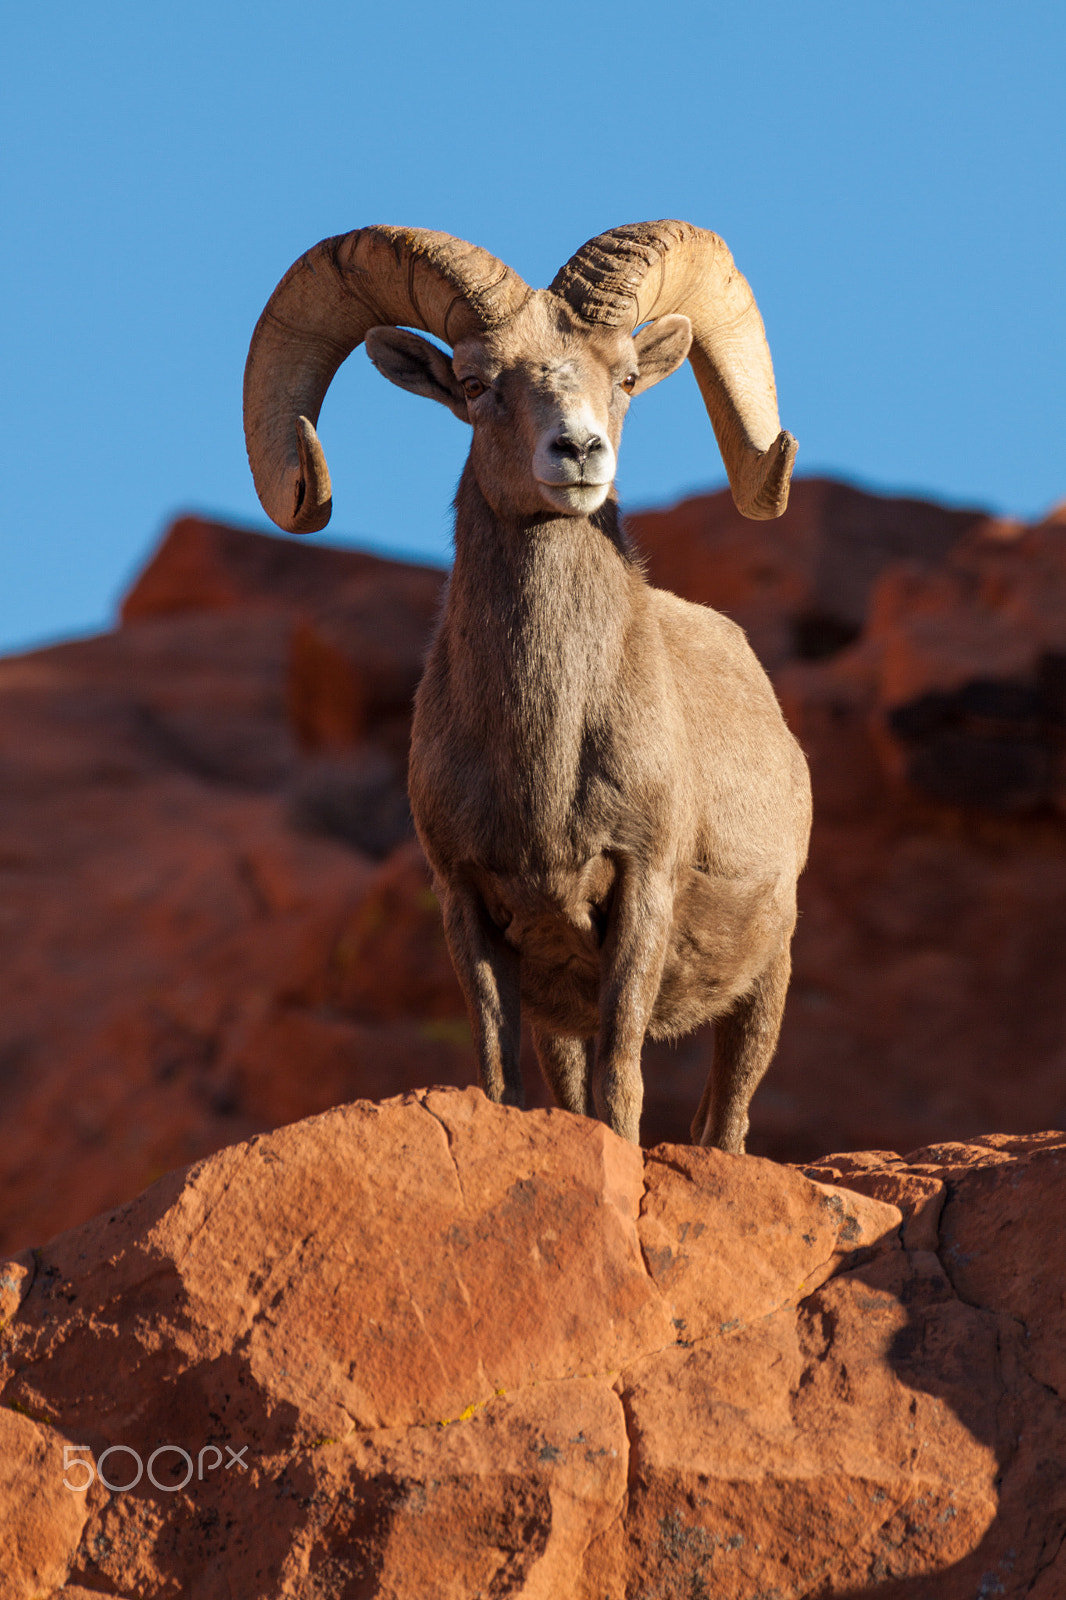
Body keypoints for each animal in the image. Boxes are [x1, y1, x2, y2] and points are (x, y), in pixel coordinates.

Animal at [244, 221, 811, 1150]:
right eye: (476, 385)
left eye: (625, 377)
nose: (578, 453)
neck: (544, 757)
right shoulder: (472, 909)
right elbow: (501, 1080)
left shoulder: (641, 892)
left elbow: (623, 1085)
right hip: (567, 1016)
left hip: (765, 981)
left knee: (727, 1120)